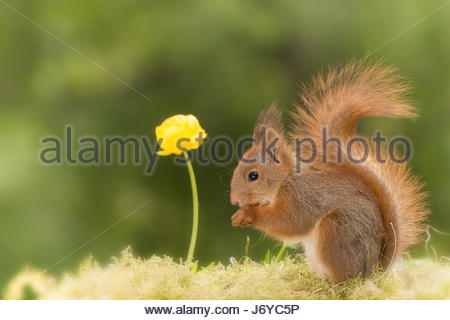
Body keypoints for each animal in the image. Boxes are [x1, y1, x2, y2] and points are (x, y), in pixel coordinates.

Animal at [232, 61, 428, 284]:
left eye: (253, 176)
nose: (234, 201)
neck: (285, 181)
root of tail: (372, 272)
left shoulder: (300, 199)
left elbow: (290, 223)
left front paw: (249, 213)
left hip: (337, 232)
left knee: (343, 281)